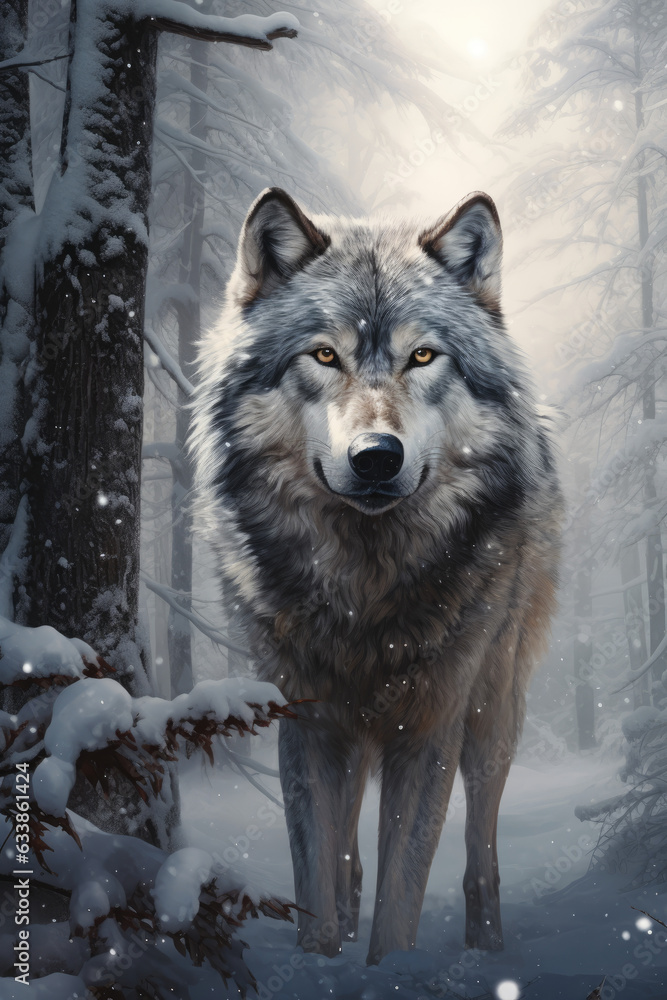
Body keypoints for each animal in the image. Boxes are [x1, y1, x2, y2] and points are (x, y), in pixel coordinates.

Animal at [191, 187, 562, 965]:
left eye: (422, 356)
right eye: (324, 354)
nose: (375, 457)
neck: (365, 591)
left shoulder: (431, 728)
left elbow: (403, 894)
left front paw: (389, 969)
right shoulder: (306, 721)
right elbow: (317, 879)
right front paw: (323, 961)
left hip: (494, 713)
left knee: (480, 846)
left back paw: (487, 949)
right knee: (350, 859)